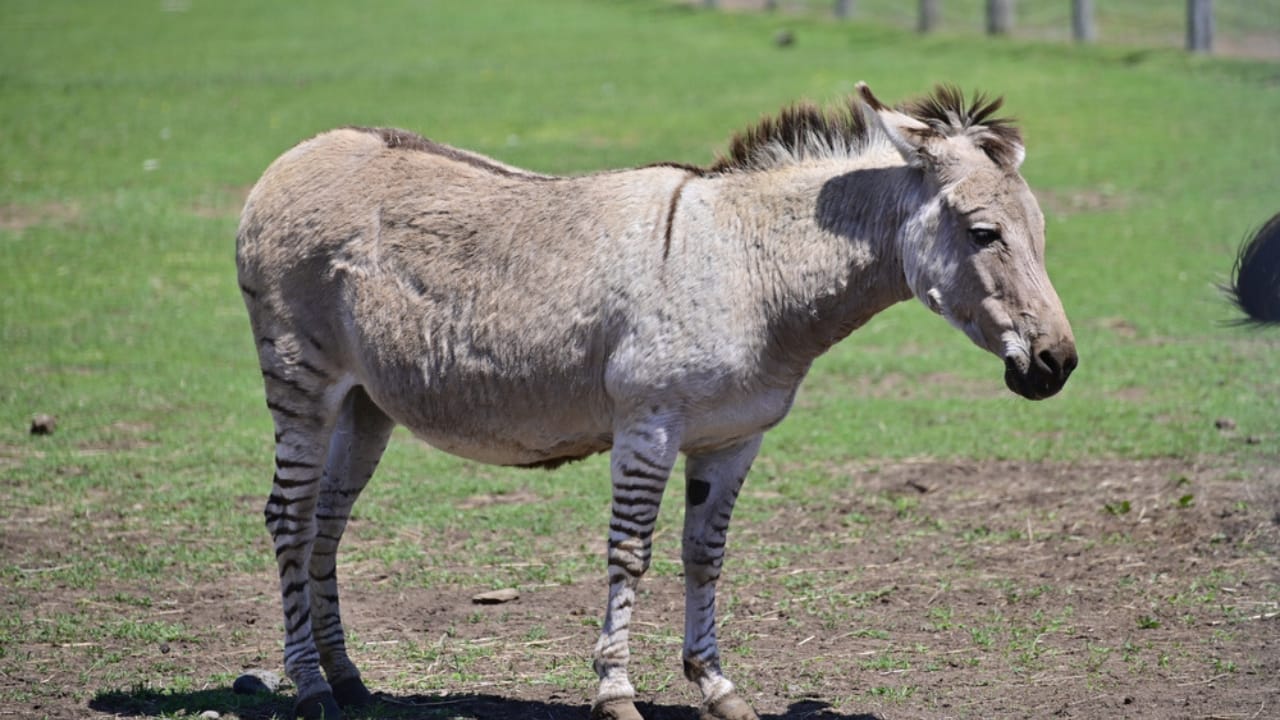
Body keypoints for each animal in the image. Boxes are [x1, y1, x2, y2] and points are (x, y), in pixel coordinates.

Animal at [236, 82, 1077, 720]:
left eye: (1041, 231)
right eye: (984, 233)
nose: (1058, 364)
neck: (751, 269)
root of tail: (302, 152)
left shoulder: (733, 437)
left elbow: (705, 554)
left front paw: (717, 686)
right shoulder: (649, 425)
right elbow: (631, 552)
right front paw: (615, 691)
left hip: (365, 402)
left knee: (326, 523)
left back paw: (347, 679)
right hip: (300, 378)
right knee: (288, 518)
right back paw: (308, 686)